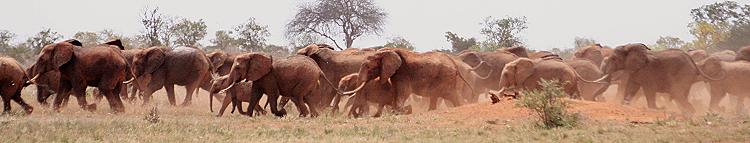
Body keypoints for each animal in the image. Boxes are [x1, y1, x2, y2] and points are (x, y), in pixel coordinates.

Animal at [209, 53, 344, 117]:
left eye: (237, 67)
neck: (253, 55)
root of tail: (319, 69)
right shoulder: (259, 76)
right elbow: (255, 95)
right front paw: (248, 116)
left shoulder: (269, 77)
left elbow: (273, 94)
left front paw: (282, 113)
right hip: (311, 80)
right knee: (308, 98)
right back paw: (314, 116)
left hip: (306, 78)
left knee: (298, 95)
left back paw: (304, 116)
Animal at [346, 48, 482, 110]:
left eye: (368, 67)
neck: (386, 51)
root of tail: (454, 64)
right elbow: (396, 91)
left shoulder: (403, 72)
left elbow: (404, 92)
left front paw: (398, 110)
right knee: (439, 96)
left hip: (444, 77)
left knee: (450, 95)